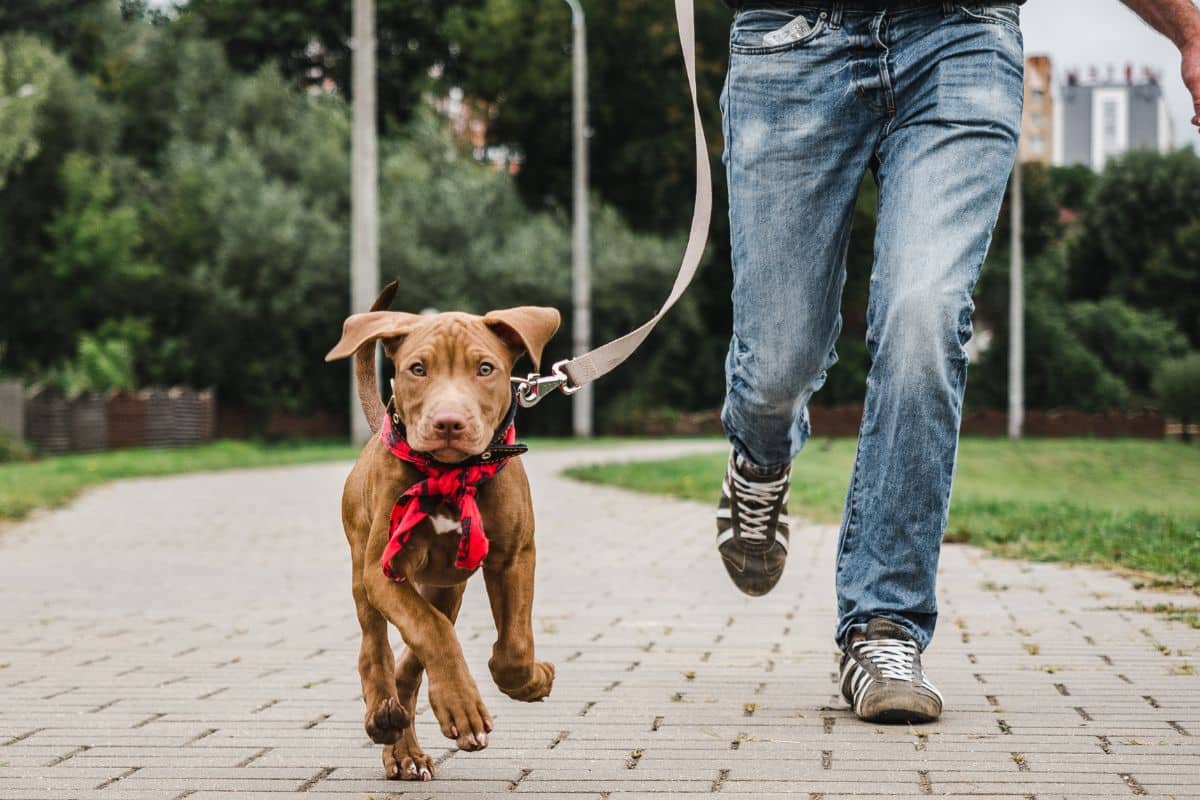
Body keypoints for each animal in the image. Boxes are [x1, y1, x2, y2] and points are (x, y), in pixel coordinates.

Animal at [321, 283, 559, 782]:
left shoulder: (514, 556)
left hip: (448, 586)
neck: (451, 474)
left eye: (485, 369)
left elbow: (513, 646)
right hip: (362, 568)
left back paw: (403, 745)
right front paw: (462, 706)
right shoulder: (384, 570)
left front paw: (531, 680)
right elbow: (431, 633)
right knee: (377, 649)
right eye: (418, 369)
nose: (449, 422)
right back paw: (384, 717)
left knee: (413, 659)